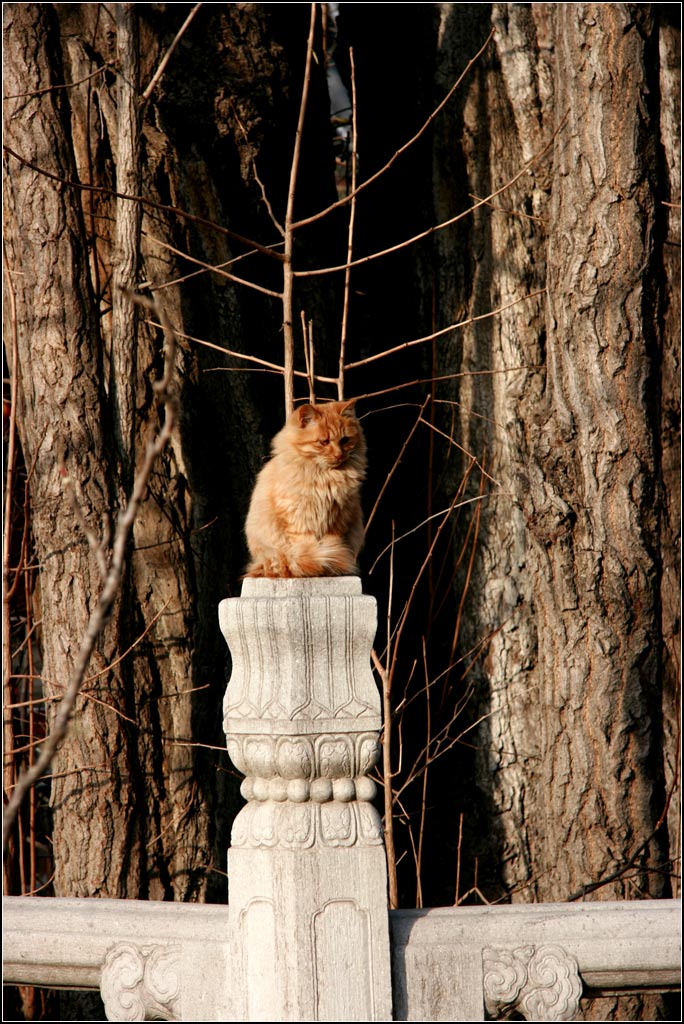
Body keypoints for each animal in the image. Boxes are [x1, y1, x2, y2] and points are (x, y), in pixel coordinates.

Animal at [242, 397, 366, 577]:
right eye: (324, 442)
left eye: (344, 440)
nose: (339, 455)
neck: (325, 476)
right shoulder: (298, 516)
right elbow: (307, 544)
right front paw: (318, 561)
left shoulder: (338, 516)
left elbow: (333, 542)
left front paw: (332, 560)